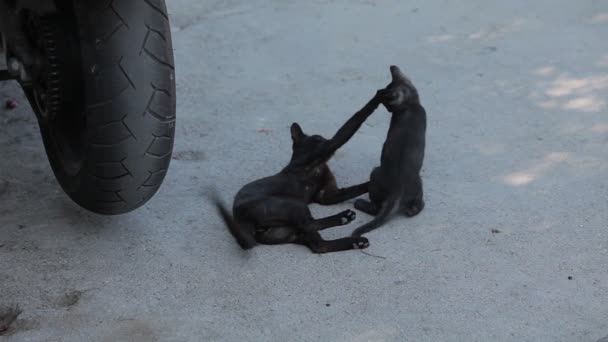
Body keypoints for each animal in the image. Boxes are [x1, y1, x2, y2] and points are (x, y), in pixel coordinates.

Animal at [211, 92, 382, 252]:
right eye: (318, 138)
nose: (322, 137)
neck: (301, 158)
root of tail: (241, 221)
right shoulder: (328, 149)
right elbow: (356, 119)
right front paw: (381, 93)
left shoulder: (328, 195)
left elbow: (358, 188)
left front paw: (374, 184)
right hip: (294, 205)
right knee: (309, 225)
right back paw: (343, 218)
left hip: (287, 231)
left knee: (320, 245)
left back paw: (356, 242)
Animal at [352, 67, 428, 238]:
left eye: (388, 105)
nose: (387, 109)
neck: (411, 105)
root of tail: (397, 192)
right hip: (418, 183)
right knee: (418, 205)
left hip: (375, 175)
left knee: (376, 208)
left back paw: (359, 203)